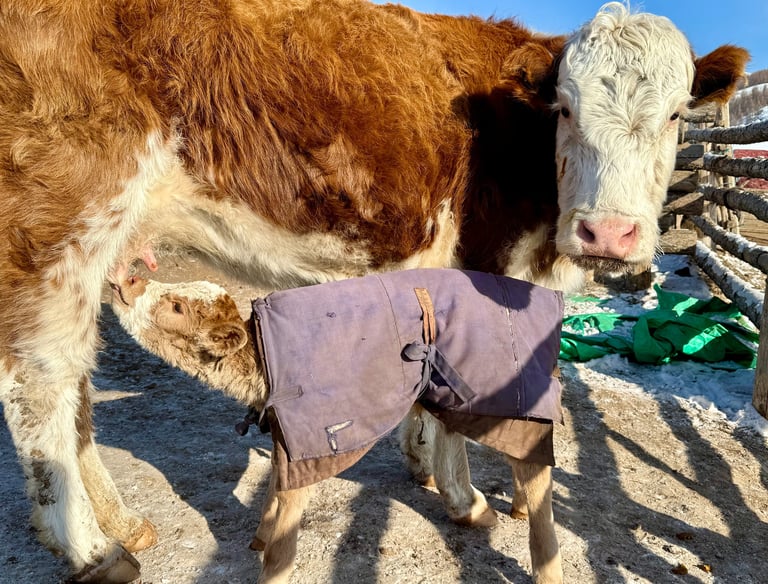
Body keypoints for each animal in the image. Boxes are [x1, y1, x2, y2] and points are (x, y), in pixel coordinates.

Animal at [0, 0, 747, 582]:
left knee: (77, 384)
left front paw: (421, 462)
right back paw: (90, 548)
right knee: (41, 382)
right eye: (565, 108)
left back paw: (120, 522)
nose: (609, 233)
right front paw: (465, 498)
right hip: (58, 226)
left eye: (677, 115)